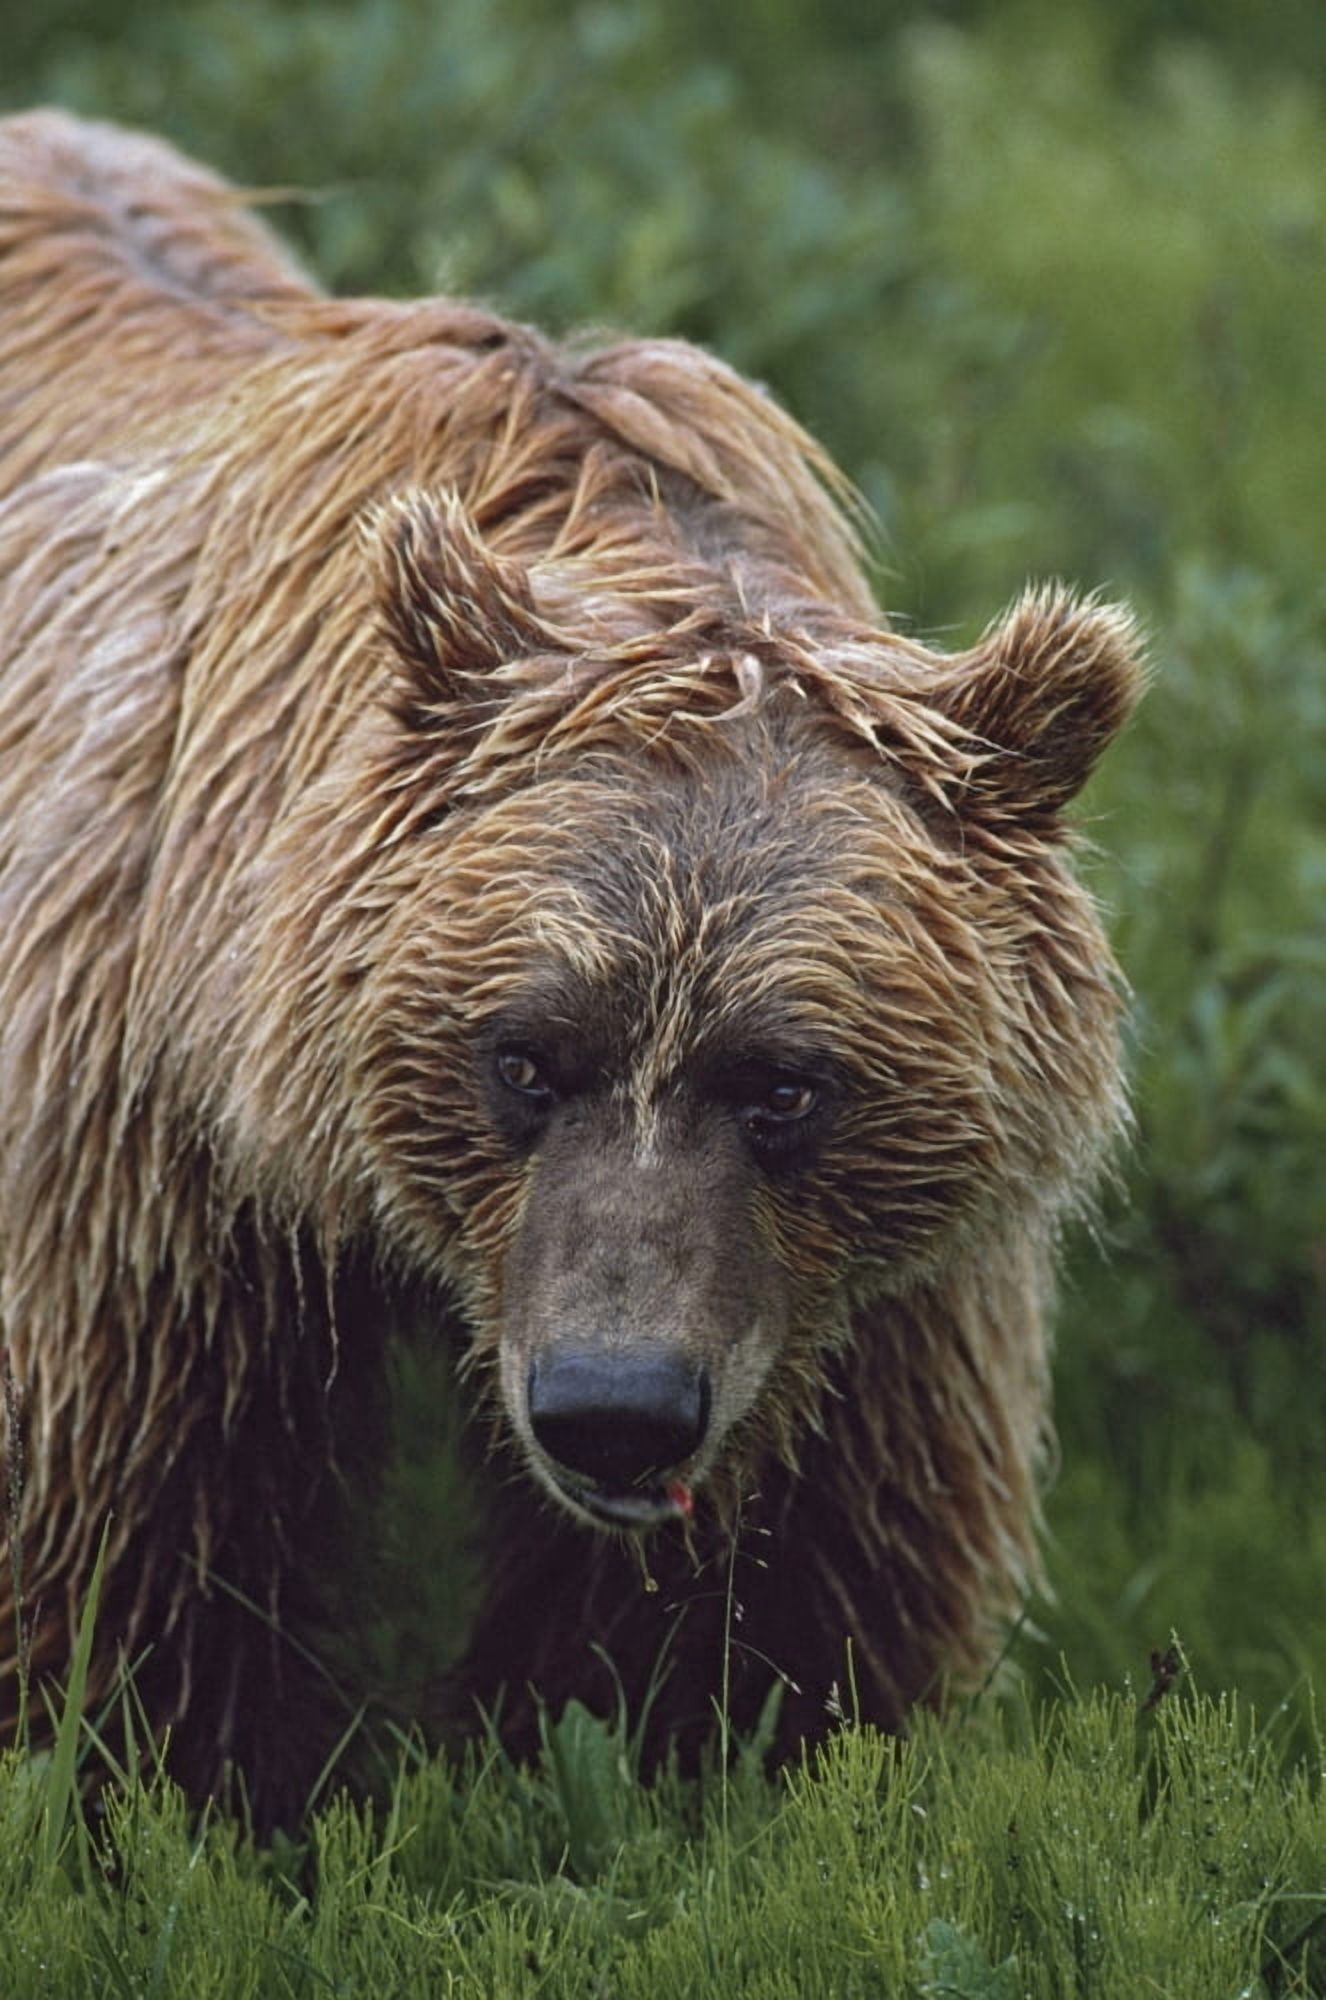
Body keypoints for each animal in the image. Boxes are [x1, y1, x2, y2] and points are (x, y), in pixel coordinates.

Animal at [0, 110, 1142, 1826]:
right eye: (522, 1053)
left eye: (784, 1082)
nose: (612, 1410)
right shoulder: (147, 1169)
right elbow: (131, 1550)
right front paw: (149, 1780)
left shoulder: (872, 1295)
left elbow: (798, 1599)